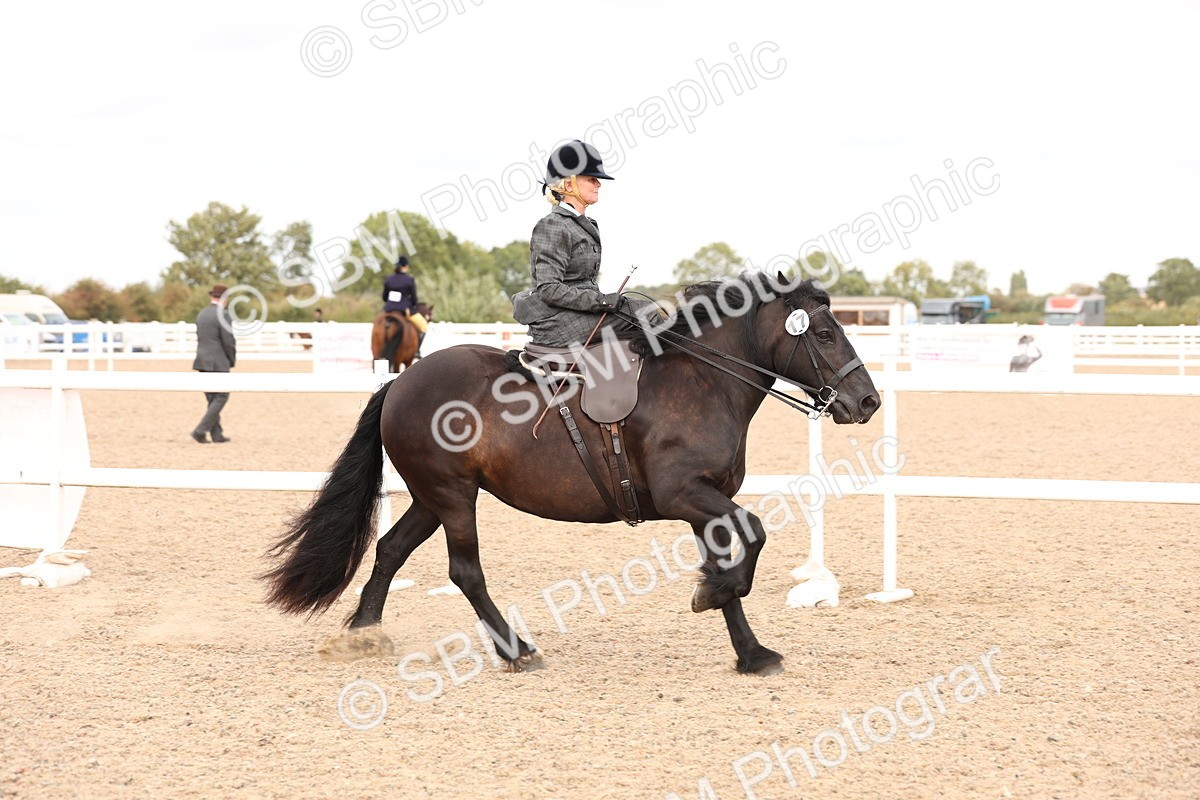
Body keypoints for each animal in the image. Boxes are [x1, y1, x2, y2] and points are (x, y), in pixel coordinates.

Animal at [263, 275, 880, 675]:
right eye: (825, 334)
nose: (867, 401)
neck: (705, 380)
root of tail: (400, 383)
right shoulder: (684, 495)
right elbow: (753, 535)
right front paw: (710, 595)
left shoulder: (706, 502)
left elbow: (732, 561)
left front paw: (749, 651)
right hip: (454, 497)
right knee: (465, 571)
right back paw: (516, 650)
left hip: (431, 497)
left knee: (390, 550)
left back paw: (363, 635)